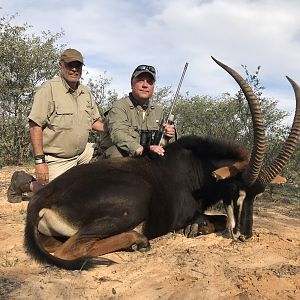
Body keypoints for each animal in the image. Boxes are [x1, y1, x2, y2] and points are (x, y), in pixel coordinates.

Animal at [24, 58, 300, 270]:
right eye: (235, 188)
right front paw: (196, 227)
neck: (195, 168)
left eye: (257, 195)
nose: (244, 236)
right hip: (132, 203)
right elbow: (217, 218)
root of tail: (43, 198)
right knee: (70, 249)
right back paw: (137, 239)